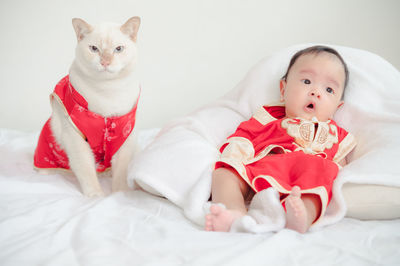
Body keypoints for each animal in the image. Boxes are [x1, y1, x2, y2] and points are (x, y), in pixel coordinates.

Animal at [33, 16, 141, 195]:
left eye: (118, 49)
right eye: (94, 49)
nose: (105, 62)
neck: (108, 92)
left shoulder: (124, 137)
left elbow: (121, 172)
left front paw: (121, 194)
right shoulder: (76, 139)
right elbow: (86, 171)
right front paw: (96, 196)